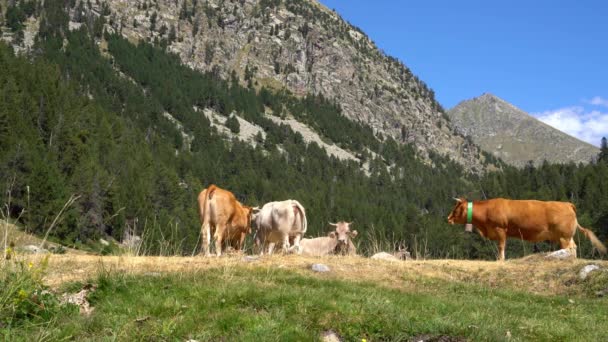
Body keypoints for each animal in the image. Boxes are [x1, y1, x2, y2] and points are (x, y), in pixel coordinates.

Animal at [444, 196, 604, 260]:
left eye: (455, 209)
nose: (448, 218)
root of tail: (567, 204)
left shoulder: (501, 230)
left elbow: (501, 246)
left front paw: (500, 259)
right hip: (565, 236)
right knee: (574, 247)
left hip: (564, 236)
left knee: (569, 248)